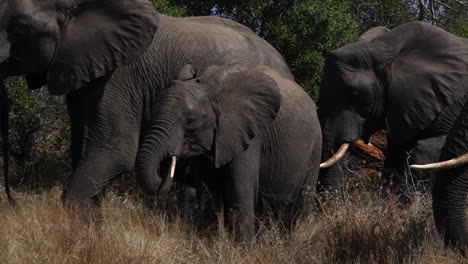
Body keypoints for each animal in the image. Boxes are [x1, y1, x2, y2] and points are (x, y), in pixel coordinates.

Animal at [135, 64, 322, 239]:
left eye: (190, 121)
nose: (168, 162)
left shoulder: (249, 135)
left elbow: (239, 188)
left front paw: (244, 248)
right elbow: (208, 189)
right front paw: (211, 241)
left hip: (315, 148)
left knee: (304, 199)